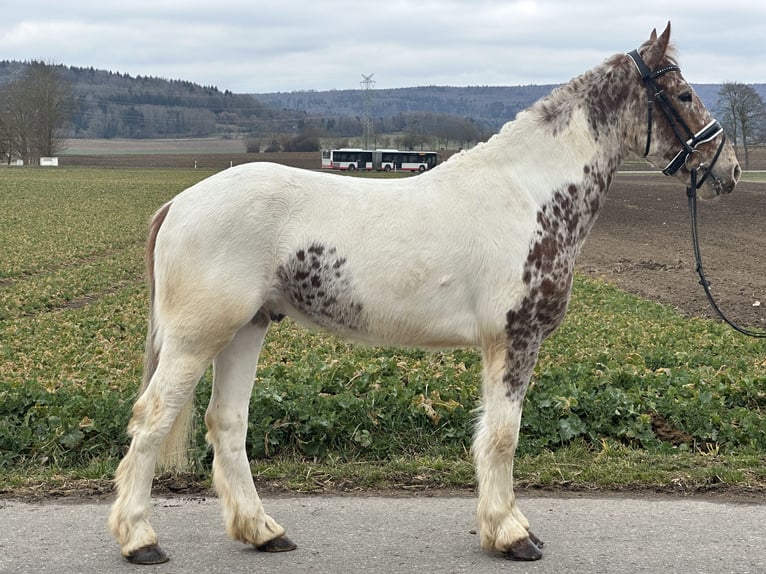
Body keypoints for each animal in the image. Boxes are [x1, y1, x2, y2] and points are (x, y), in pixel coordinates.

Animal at [106, 23, 736, 568]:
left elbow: (492, 436)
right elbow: (502, 437)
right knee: (153, 418)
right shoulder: (515, 338)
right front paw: (511, 535)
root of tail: (180, 202)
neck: (527, 194)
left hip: (246, 329)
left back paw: (263, 531)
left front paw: (505, 526)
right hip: (198, 338)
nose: (726, 168)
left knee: (227, 423)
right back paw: (140, 539)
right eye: (683, 92)